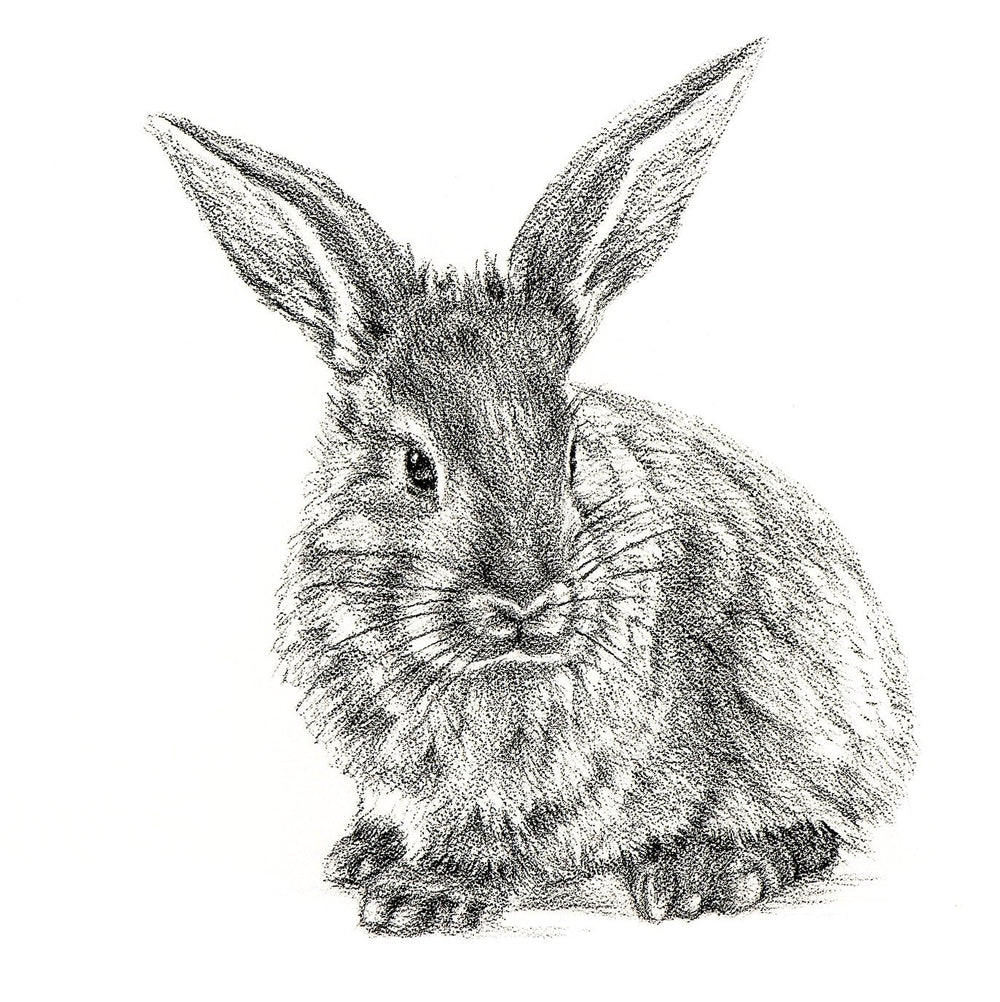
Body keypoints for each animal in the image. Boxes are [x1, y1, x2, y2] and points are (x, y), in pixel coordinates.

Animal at [148, 38, 914, 935]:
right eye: (417, 467)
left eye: (573, 451)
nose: (525, 599)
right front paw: (368, 858)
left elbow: (505, 836)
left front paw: (421, 895)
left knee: (811, 825)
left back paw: (707, 873)